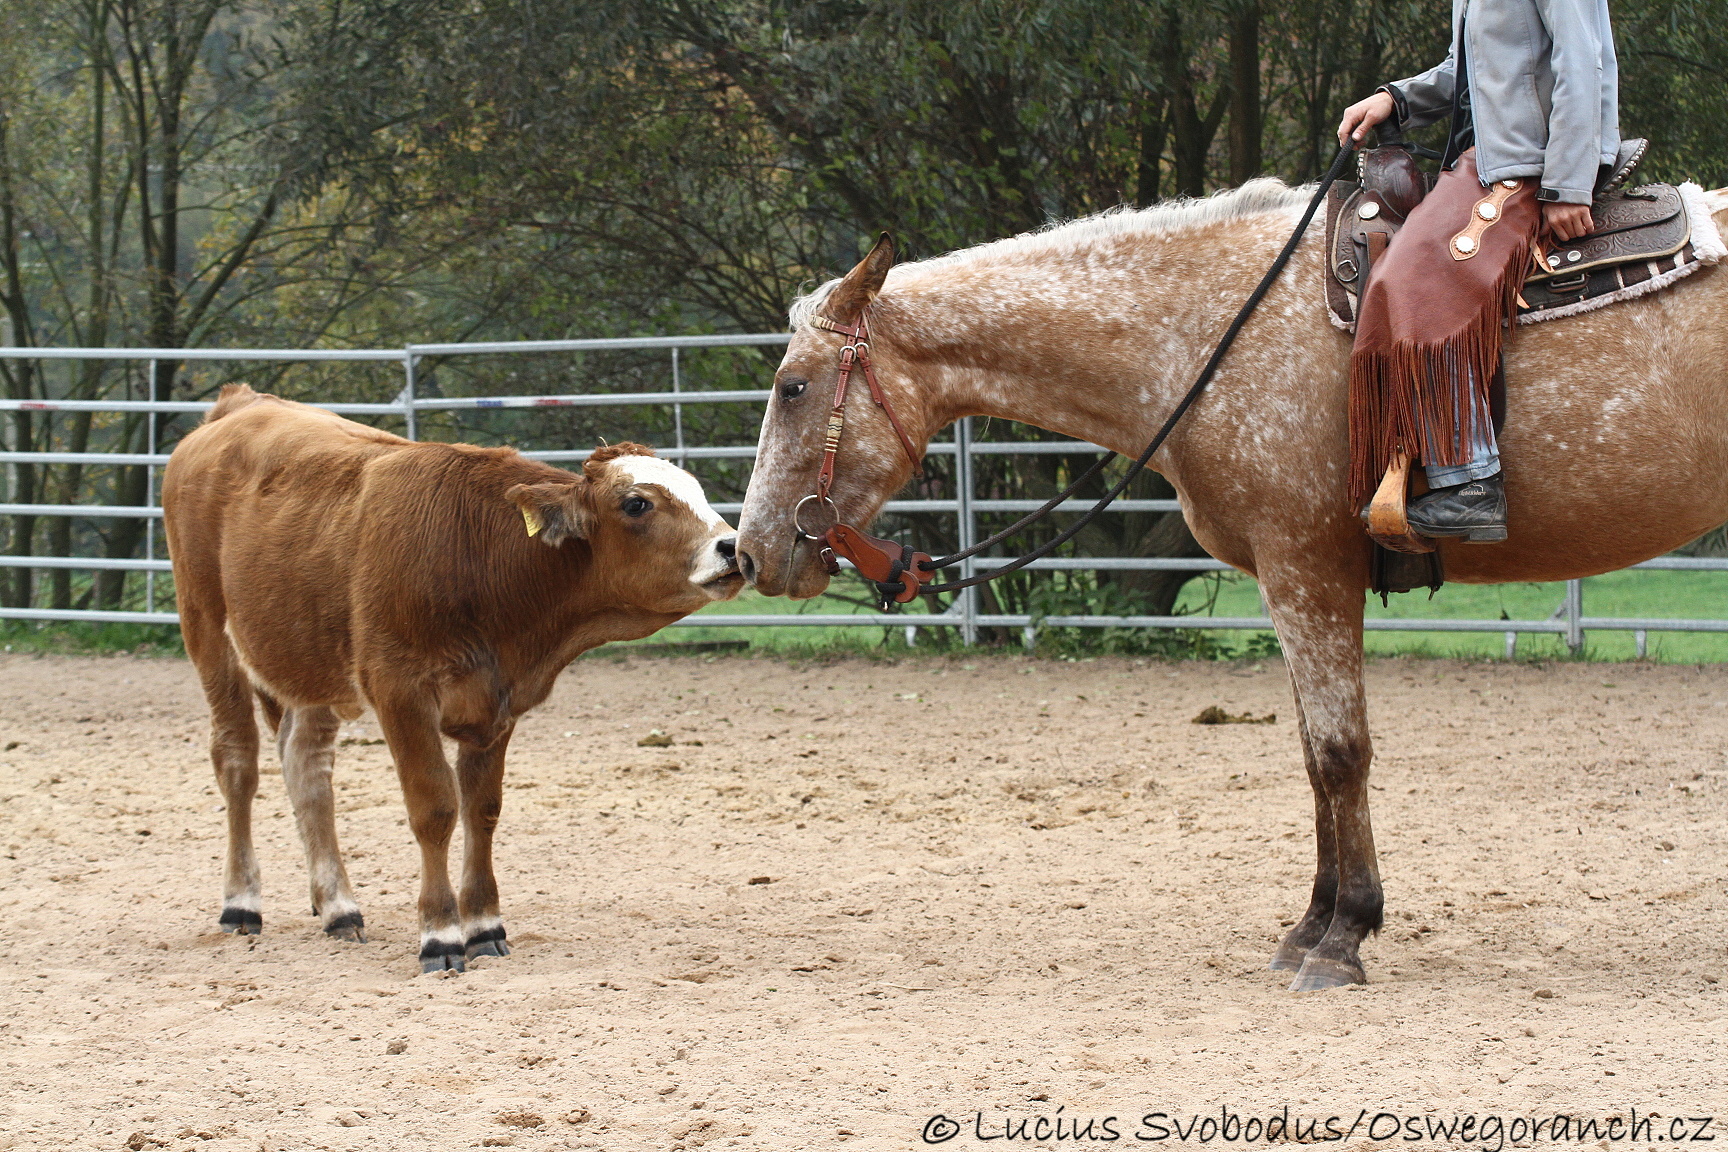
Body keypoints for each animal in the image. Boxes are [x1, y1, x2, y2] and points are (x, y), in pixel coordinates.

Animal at [165, 390, 746, 974]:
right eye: (636, 504)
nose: (732, 547)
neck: (476, 554)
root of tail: (239, 404)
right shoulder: (400, 692)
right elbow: (435, 808)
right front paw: (440, 933)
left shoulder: (499, 703)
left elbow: (482, 810)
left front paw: (484, 924)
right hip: (207, 632)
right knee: (237, 761)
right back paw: (241, 901)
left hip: (312, 665)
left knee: (306, 768)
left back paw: (338, 907)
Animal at [736, 180, 1728, 994]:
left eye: (792, 386)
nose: (749, 554)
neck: (1209, 332)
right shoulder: (1291, 579)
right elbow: (1312, 755)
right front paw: (1311, 925)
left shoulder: (1307, 567)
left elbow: (1341, 751)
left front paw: (1345, 938)